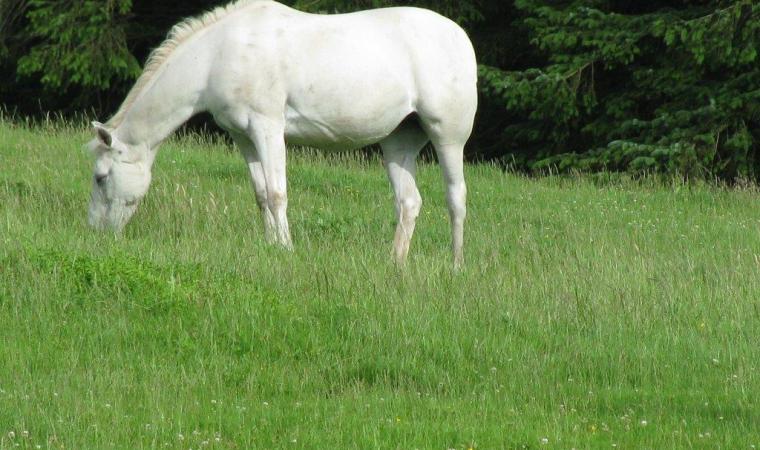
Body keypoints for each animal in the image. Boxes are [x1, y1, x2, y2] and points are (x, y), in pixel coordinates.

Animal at [87, 0, 476, 266]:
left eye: (100, 177)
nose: (95, 233)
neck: (218, 55)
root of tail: (460, 37)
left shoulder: (268, 127)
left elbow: (277, 193)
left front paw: (286, 249)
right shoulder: (243, 136)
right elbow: (261, 194)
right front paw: (270, 246)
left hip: (448, 137)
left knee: (456, 197)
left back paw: (456, 264)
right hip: (399, 142)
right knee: (409, 201)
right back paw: (395, 262)